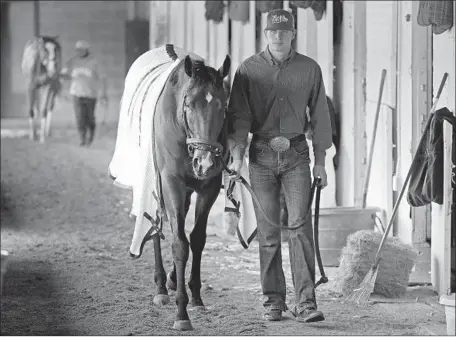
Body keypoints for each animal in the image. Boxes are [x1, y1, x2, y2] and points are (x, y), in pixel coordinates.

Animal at [150, 48, 230, 330]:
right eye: (188, 105)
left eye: (223, 106)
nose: (204, 162)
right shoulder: (171, 182)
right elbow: (179, 244)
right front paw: (181, 313)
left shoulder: (209, 187)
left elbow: (196, 239)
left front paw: (195, 297)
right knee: (156, 224)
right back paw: (161, 287)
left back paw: (173, 280)